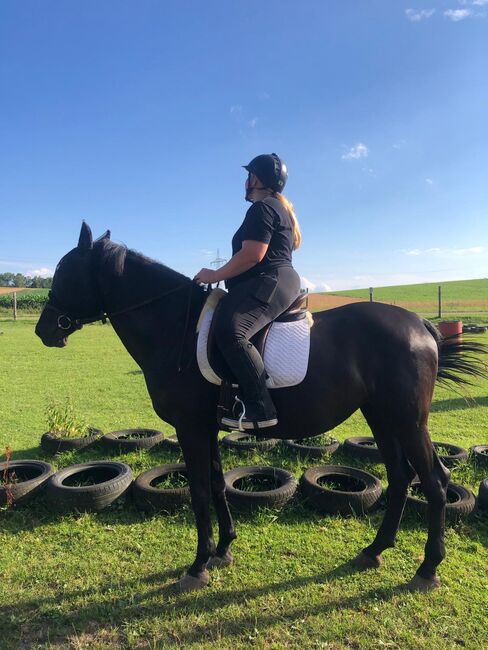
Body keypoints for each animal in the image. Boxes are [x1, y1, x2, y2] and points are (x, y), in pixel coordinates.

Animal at [35, 224, 488, 592]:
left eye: (64, 272)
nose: (44, 329)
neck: (175, 328)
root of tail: (419, 325)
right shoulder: (206, 427)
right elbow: (217, 484)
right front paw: (222, 550)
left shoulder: (190, 426)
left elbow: (199, 491)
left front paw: (198, 566)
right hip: (382, 418)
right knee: (400, 477)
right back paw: (374, 550)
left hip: (408, 421)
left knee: (434, 480)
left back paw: (427, 569)